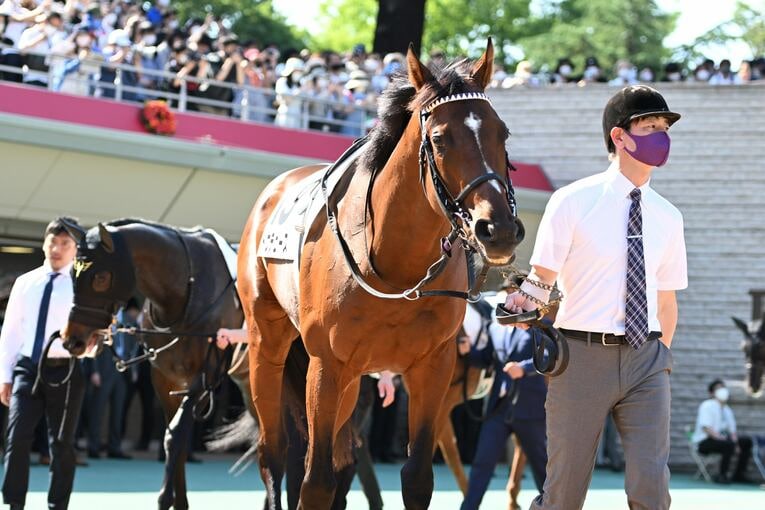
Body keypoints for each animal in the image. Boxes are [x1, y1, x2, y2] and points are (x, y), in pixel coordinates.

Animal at [60, 219, 248, 510]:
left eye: (101, 277)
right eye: (72, 273)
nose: (73, 340)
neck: (187, 288)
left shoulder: (202, 376)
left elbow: (176, 435)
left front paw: (165, 498)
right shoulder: (165, 378)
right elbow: (174, 435)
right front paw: (179, 501)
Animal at [239, 39, 524, 509]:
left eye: (502, 133)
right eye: (440, 139)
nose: (497, 228)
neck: (397, 268)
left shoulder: (432, 366)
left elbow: (417, 476)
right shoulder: (327, 365)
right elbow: (314, 481)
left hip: (353, 381)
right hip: (268, 344)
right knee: (274, 454)